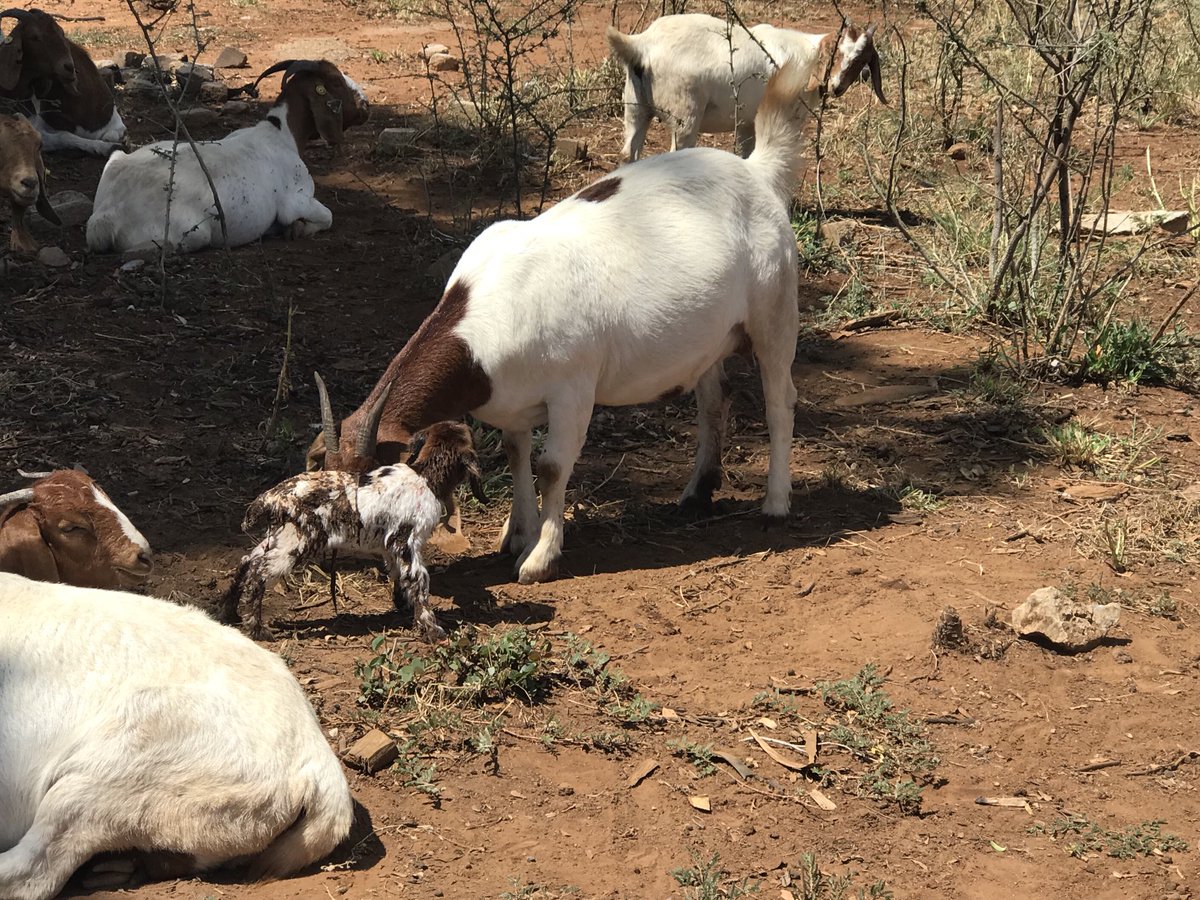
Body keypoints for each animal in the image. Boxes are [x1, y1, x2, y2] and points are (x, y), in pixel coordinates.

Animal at [86, 59, 369, 255]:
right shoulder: (296, 201)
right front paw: (297, 229)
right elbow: (327, 215)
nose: (366, 105)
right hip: (192, 233)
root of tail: (105, 217)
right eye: (336, 82)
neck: (282, 134)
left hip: (116, 158)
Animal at [222, 383, 484, 641]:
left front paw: (403, 605)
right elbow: (418, 579)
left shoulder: (389, 546)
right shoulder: (407, 541)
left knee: (246, 562)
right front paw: (432, 629)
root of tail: (271, 497)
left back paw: (228, 613)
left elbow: (397, 574)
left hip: (278, 537)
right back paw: (257, 629)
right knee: (258, 573)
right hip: (300, 543)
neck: (425, 475)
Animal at [310, 63, 813, 586]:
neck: (484, 318)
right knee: (714, 401)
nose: (343, 555)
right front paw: (517, 535)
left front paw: (539, 559)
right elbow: (516, 456)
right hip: (708, 338)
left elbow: (551, 467)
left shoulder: (573, 390)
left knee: (780, 400)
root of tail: (755, 172)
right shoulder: (512, 402)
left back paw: (775, 505)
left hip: (775, 310)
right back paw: (696, 493)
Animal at [606, 14, 885, 161]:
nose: (837, 87)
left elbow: (746, 152)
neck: (807, 56)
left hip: (635, 106)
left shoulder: (746, 121)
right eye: (837, 54)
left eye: (860, 61)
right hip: (685, 114)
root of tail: (643, 44)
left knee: (628, 152)